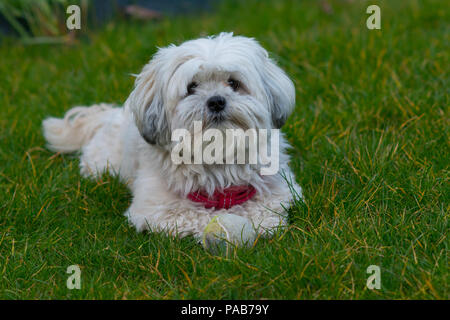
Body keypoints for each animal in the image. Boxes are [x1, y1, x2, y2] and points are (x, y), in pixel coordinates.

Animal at [43, 32, 302, 248]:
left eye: (233, 83)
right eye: (192, 87)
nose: (216, 101)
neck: (217, 152)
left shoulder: (280, 189)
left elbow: (263, 210)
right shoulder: (157, 208)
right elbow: (197, 215)